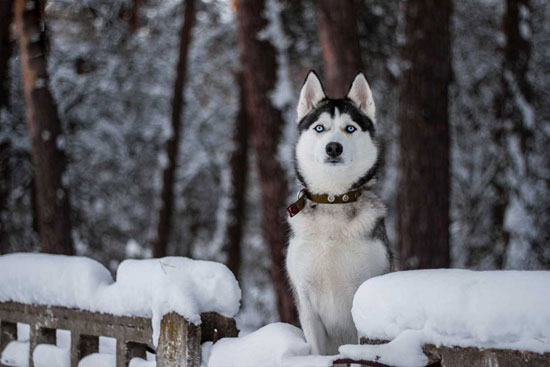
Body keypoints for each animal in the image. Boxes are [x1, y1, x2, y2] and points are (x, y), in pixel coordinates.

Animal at [286, 71, 394, 356]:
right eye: (319, 128)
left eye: (350, 128)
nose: (333, 147)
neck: (333, 200)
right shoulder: (305, 300)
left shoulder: (363, 295)